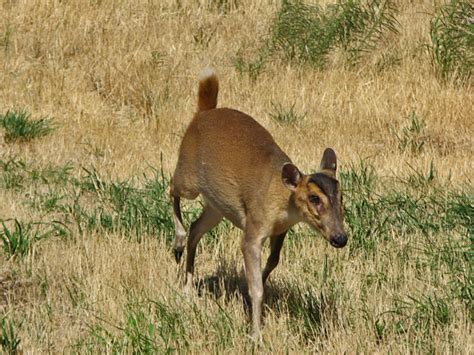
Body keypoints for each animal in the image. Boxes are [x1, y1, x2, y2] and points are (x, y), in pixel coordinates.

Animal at [170, 69, 348, 340]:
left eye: (341, 197)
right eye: (314, 198)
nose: (340, 237)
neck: (281, 200)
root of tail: (203, 112)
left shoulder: (281, 228)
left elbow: (273, 261)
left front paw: (250, 291)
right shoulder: (254, 226)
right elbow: (256, 285)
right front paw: (255, 334)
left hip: (216, 206)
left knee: (196, 227)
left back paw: (188, 285)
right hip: (188, 175)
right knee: (171, 187)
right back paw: (177, 245)